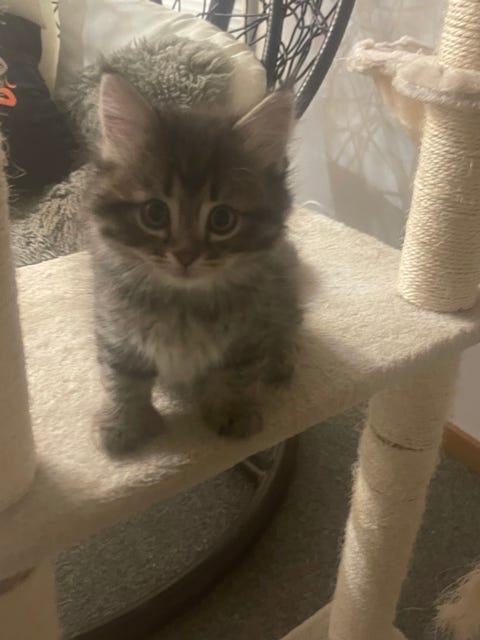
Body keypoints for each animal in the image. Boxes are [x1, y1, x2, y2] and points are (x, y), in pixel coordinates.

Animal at [88, 73, 302, 456]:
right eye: (155, 213)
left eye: (222, 219)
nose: (185, 255)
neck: (183, 303)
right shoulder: (115, 324)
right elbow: (122, 376)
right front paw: (123, 424)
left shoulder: (250, 331)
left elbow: (237, 373)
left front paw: (232, 410)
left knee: (289, 326)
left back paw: (280, 360)